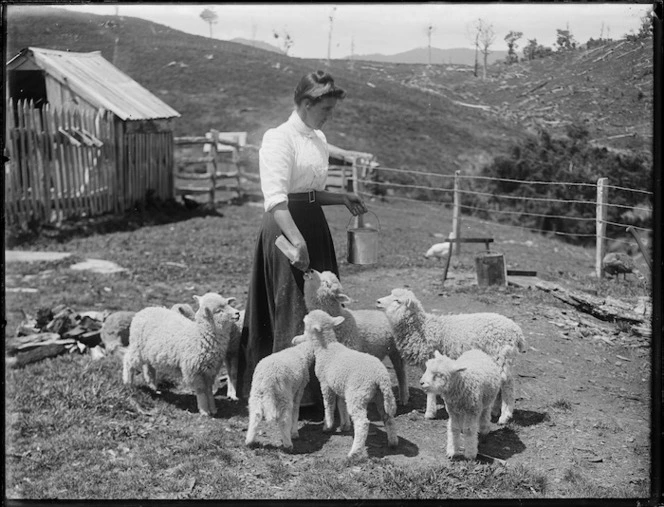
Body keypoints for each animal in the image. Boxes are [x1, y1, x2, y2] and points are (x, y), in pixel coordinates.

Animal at [292, 310, 400, 460]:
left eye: (305, 323)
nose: (295, 339)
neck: (327, 348)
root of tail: (380, 376)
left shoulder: (325, 384)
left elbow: (329, 405)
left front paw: (328, 425)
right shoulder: (340, 386)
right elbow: (341, 405)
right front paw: (345, 425)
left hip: (357, 395)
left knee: (362, 423)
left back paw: (354, 452)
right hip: (381, 396)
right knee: (388, 417)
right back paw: (393, 442)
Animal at [302, 270, 408, 404]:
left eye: (327, 283)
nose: (309, 270)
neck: (339, 320)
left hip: (397, 350)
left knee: (401, 372)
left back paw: (404, 397)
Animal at [376, 290, 528, 424]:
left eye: (397, 301)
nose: (378, 302)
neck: (422, 328)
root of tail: (518, 333)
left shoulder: (430, 360)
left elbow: (430, 390)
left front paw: (429, 413)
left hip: (501, 356)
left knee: (508, 386)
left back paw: (504, 416)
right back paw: (495, 411)